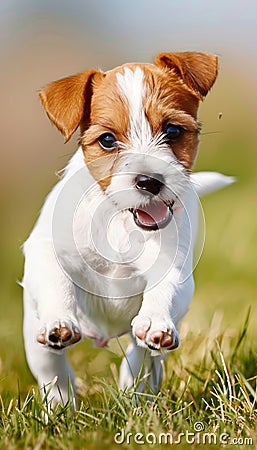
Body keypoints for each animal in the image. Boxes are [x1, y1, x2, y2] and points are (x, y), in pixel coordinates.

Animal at [22, 51, 233, 406]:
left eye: (172, 130)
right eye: (107, 140)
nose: (150, 181)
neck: (119, 219)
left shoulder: (172, 267)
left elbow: (163, 290)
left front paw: (156, 323)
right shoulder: (47, 249)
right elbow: (57, 281)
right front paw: (59, 320)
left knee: (140, 360)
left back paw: (135, 393)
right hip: (35, 346)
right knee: (55, 374)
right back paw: (61, 407)